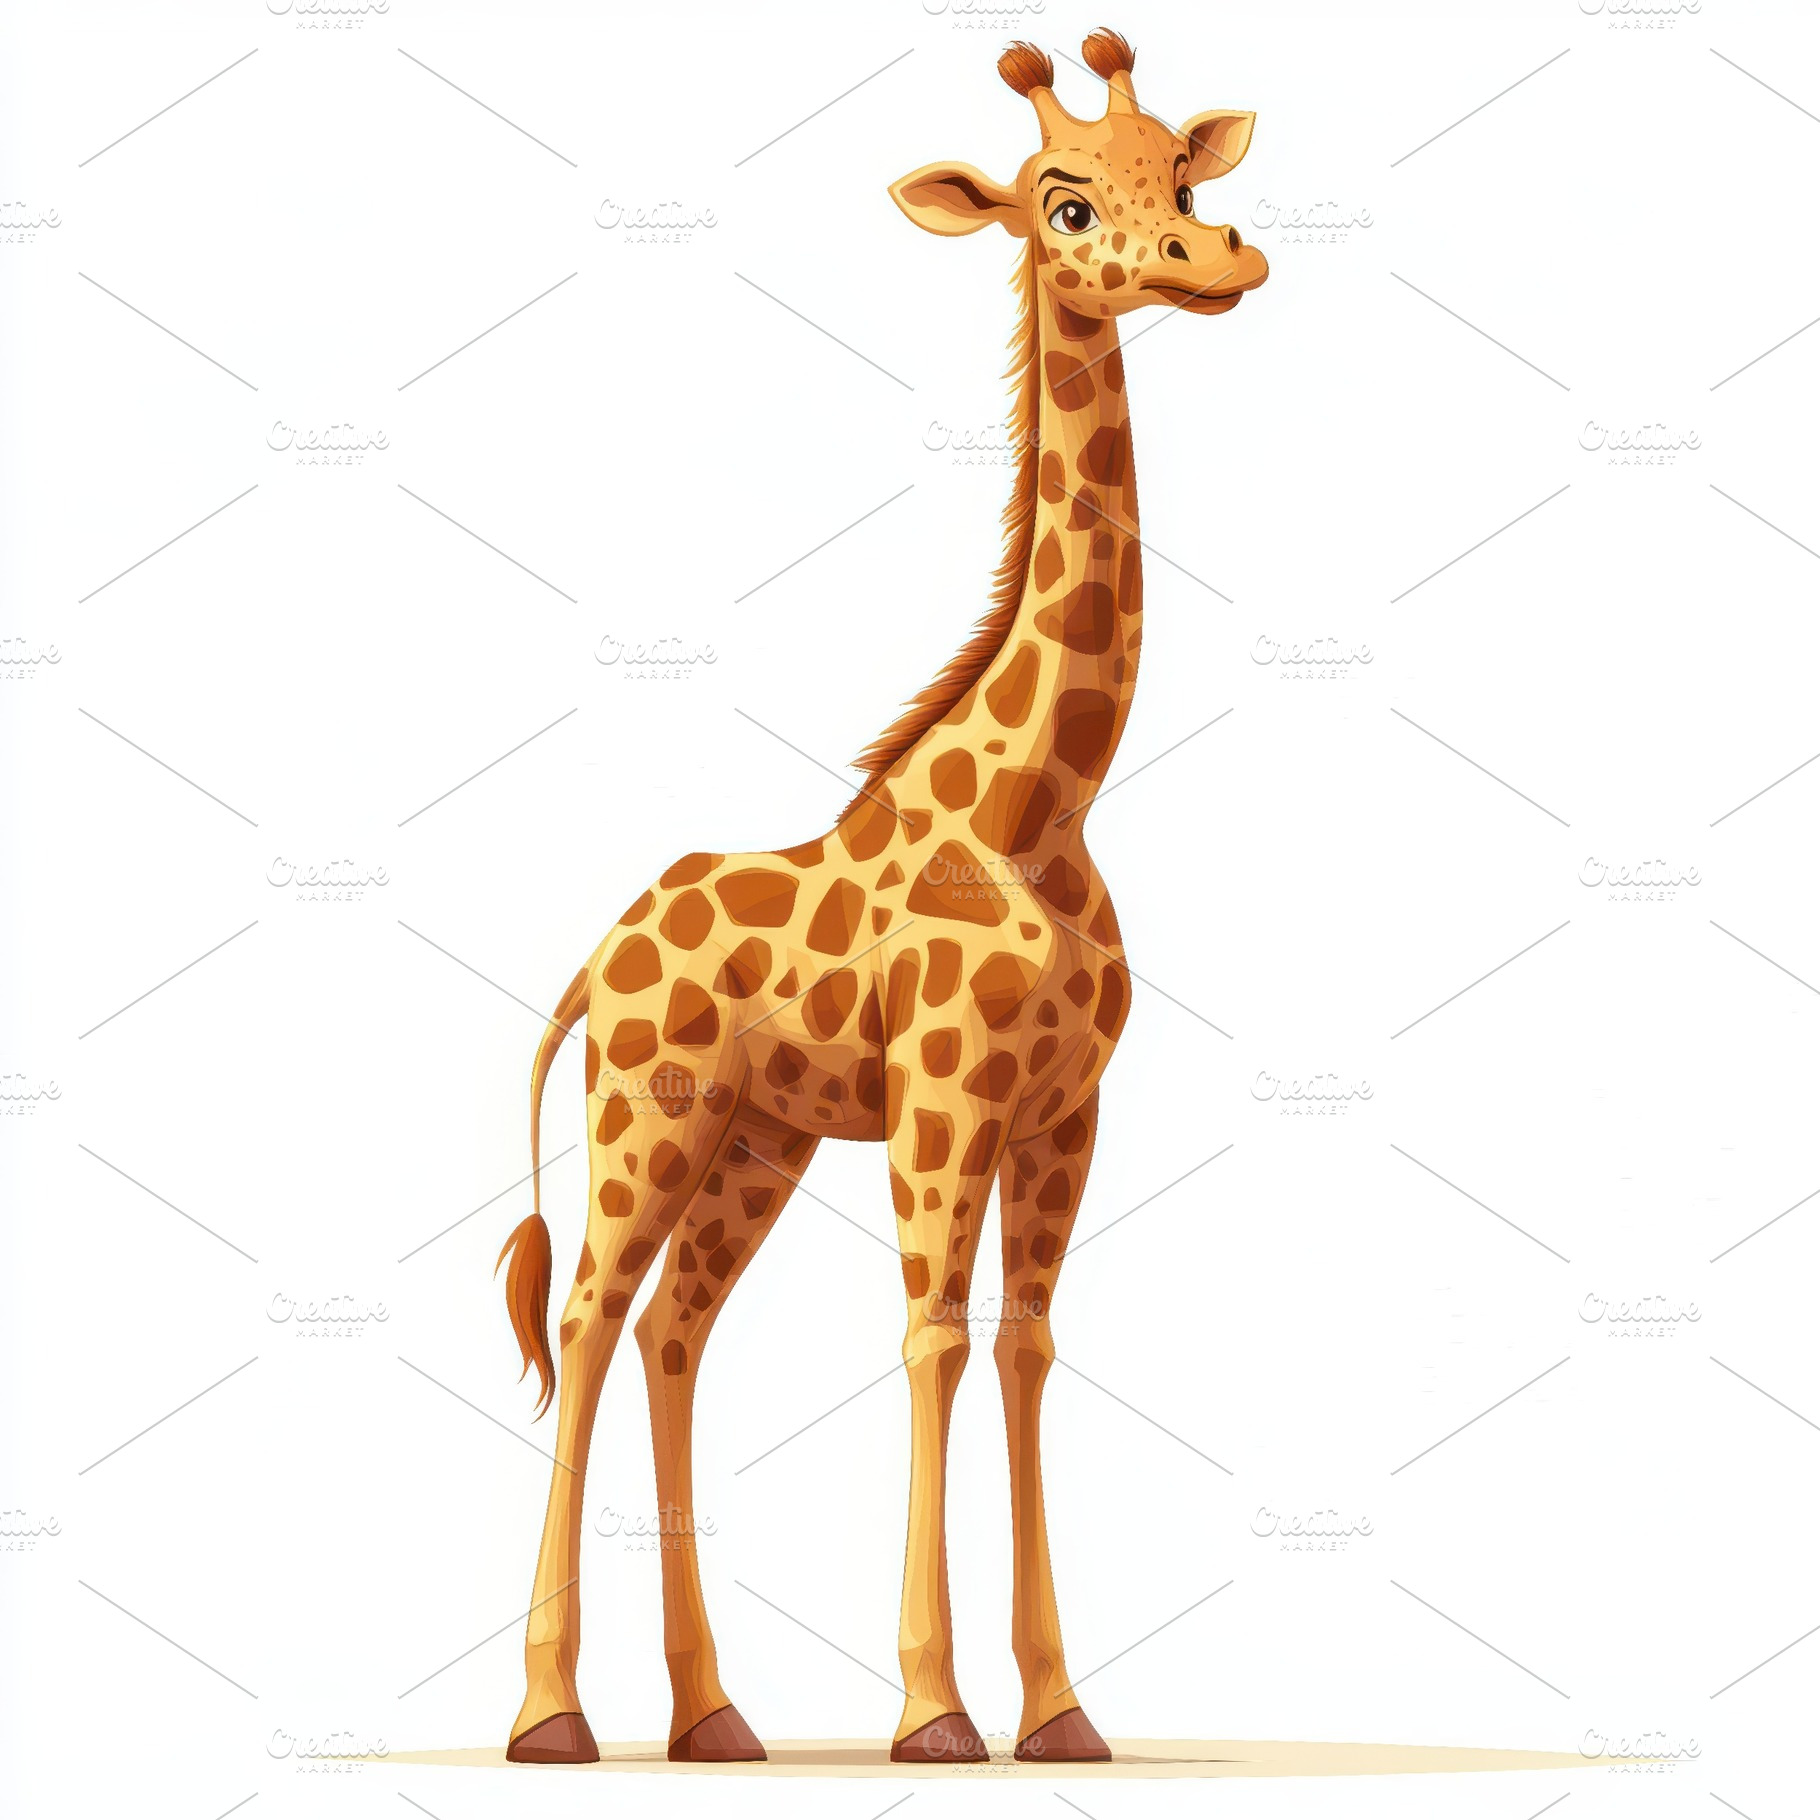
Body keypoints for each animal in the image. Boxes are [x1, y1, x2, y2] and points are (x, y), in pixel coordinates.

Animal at [496, 28, 1267, 1767]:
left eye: (1183, 182)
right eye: (1065, 201)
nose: (1217, 263)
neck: (1040, 803)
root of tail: (592, 959)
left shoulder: (1064, 1111)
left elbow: (1028, 1346)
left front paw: (1060, 1713)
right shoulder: (943, 1096)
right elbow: (932, 1340)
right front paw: (933, 1711)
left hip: (758, 1138)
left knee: (676, 1333)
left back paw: (714, 1716)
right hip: (646, 1115)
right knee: (585, 1322)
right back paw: (550, 1713)